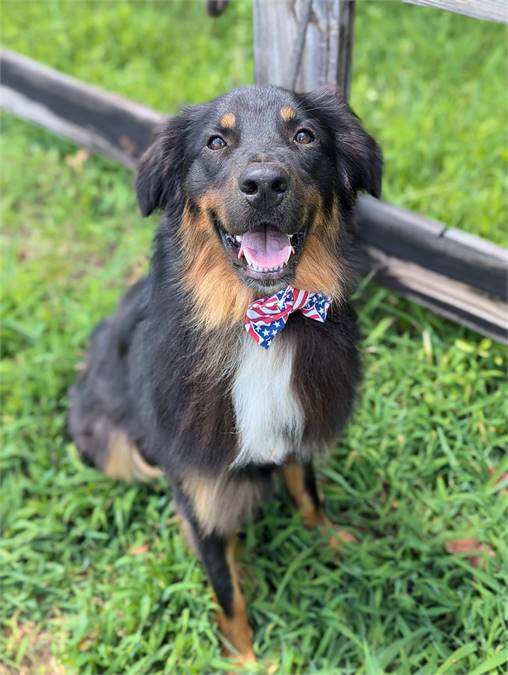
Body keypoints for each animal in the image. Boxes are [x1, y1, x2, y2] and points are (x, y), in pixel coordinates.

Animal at [69, 86, 382, 664]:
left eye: (304, 135)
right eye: (216, 141)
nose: (264, 184)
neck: (255, 320)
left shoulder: (299, 425)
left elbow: (308, 491)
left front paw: (331, 539)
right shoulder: (200, 481)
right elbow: (225, 585)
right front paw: (245, 659)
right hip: (113, 445)